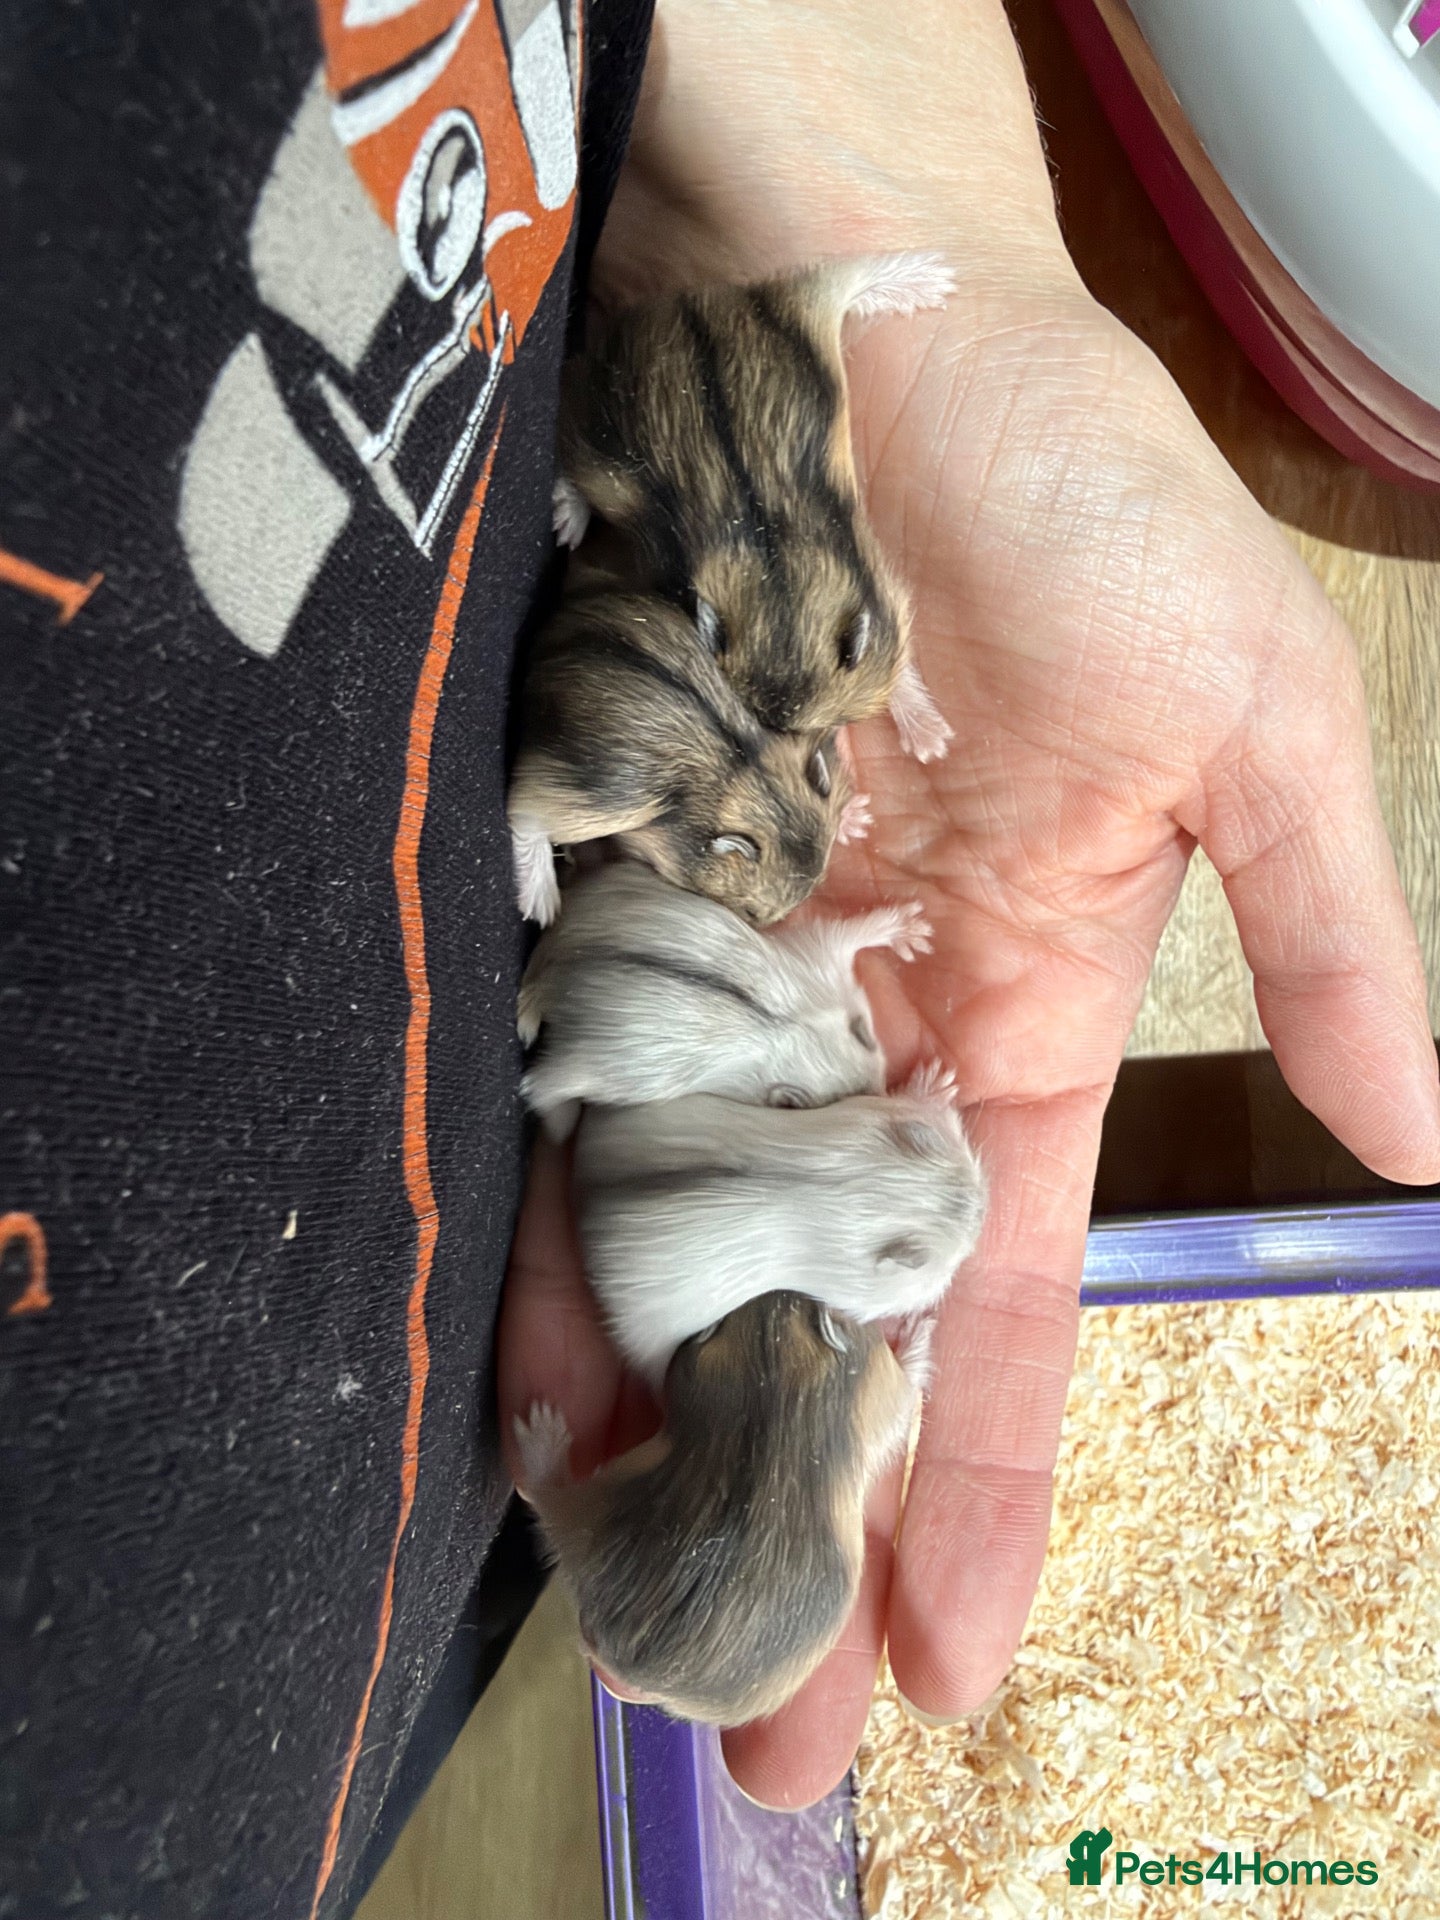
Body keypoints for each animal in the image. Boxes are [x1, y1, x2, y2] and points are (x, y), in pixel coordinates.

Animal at [508, 589, 857, 927]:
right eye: (750, 912)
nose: (770, 925)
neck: (750, 775)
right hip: (608, 804)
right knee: (526, 818)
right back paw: (543, 909)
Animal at [513, 1292, 921, 1727]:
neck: (776, 1364)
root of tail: (627, 1664)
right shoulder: (889, 1394)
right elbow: (912, 1382)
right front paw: (917, 1327)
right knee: (537, 1490)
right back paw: (539, 1424)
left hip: (595, 1508)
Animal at [517, 860, 933, 1140]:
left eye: (865, 1034)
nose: (884, 1092)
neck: (789, 1027)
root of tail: (558, 960)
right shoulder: (817, 957)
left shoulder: (822, 960)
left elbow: (854, 931)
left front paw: (913, 932)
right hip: (589, 1068)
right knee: (538, 1087)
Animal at [553, 251, 955, 762]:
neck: (776, 578)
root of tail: (684, 299)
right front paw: (934, 747)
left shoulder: (886, 602)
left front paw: (933, 747)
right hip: (598, 445)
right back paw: (564, 526)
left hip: (800, 308)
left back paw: (938, 280)